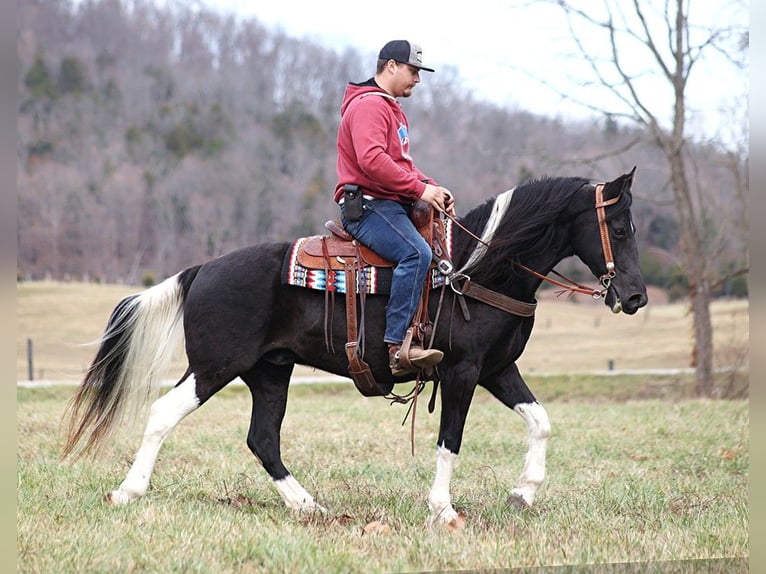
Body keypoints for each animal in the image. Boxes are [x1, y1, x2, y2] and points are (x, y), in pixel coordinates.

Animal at [63, 169, 648, 528]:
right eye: (619, 228)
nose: (637, 296)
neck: (474, 271)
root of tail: (202, 268)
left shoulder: (498, 370)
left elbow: (540, 421)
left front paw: (523, 492)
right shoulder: (461, 373)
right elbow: (450, 441)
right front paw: (443, 511)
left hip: (269, 374)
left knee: (263, 440)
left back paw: (309, 507)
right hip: (213, 367)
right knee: (164, 413)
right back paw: (128, 491)